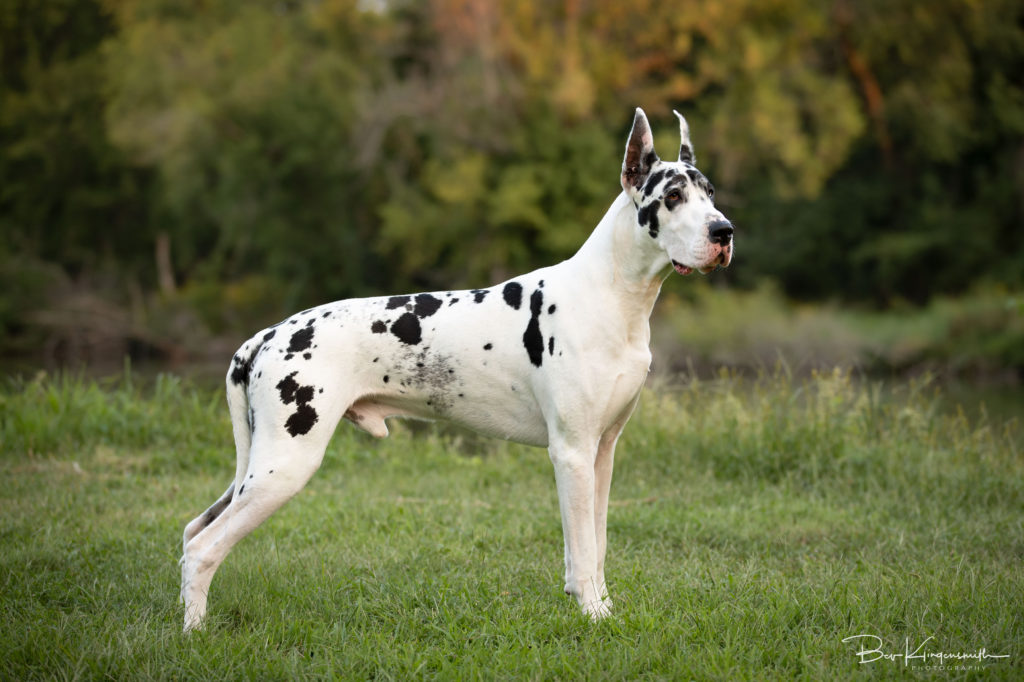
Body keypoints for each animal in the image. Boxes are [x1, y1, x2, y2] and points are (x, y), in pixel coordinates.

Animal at [180, 107, 733, 630]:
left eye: (709, 193)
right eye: (674, 196)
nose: (723, 231)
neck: (611, 293)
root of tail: (266, 336)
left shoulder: (602, 453)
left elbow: (594, 546)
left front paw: (606, 608)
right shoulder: (572, 454)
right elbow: (580, 551)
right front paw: (593, 615)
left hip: (259, 465)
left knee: (193, 531)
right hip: (285, 464)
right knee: (203, 549)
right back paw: (195, 632)